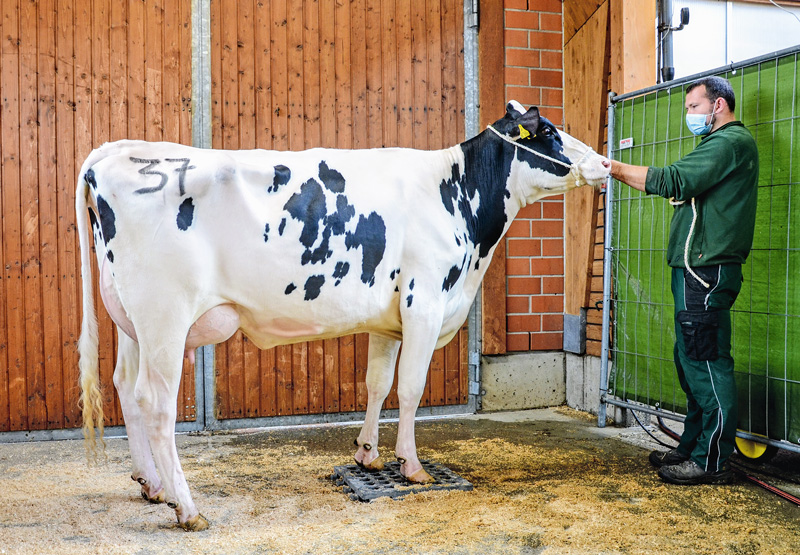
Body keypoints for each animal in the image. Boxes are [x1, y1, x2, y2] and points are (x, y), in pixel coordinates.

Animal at [78, 102, 608, 532]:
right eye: (548, 131)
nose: (604, 162)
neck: (457, 197)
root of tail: (115, 151)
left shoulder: (388, 319)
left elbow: (376, 383)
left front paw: (368, 455)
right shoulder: (425, 301)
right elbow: (410, 388)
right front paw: (410, 465)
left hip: (132, 320)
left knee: (125, 387)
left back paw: (152, 486)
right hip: (164, 315)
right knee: (156, 403)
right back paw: (187, 508)